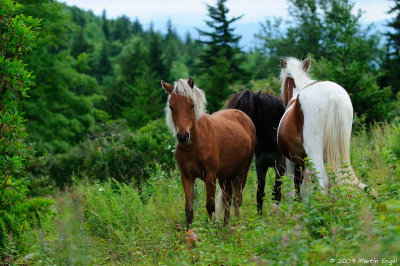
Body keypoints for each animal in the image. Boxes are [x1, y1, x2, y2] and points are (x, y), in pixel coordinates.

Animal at [162, 77, 256, 227]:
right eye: (171, 106)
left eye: (192, 105)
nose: (182, 137)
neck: (193, 145)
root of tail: (244, 116)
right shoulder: (187, 177)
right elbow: (189, 210)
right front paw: (189, 231)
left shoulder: (210, 176)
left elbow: (210, 207)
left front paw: (211, 230)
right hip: (225, 176)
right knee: (227, 199)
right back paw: (226, 225)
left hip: (242, 173)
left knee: (237, 200)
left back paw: (236, 225)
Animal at [278, 57, 372, 196]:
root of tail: (332, 95)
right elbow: (306, 190)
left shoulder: (290, 159)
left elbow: (291, 191)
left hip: (314, 151)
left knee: (323, 182)